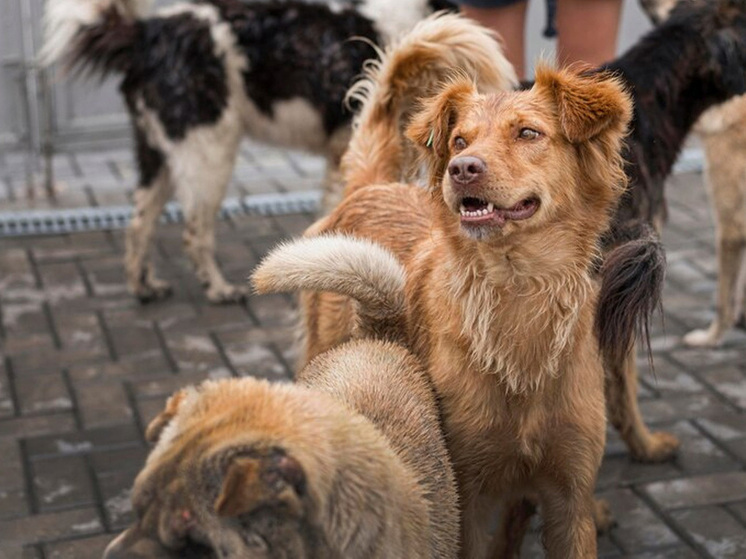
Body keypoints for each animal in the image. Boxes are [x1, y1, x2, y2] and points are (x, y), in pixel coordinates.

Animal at [43, 0, 516, 302]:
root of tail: (146, 34)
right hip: (208, 151)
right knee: (194, 231)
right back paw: (218, 289)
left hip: (158, 153)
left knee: (139, 222)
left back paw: (144, 287)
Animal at [300, 63, 644, 556]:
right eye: (460, 141)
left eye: (527, 133)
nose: (462, 168)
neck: (517, 291)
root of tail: (373, 186)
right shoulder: (465, 498)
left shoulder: (569, 500)